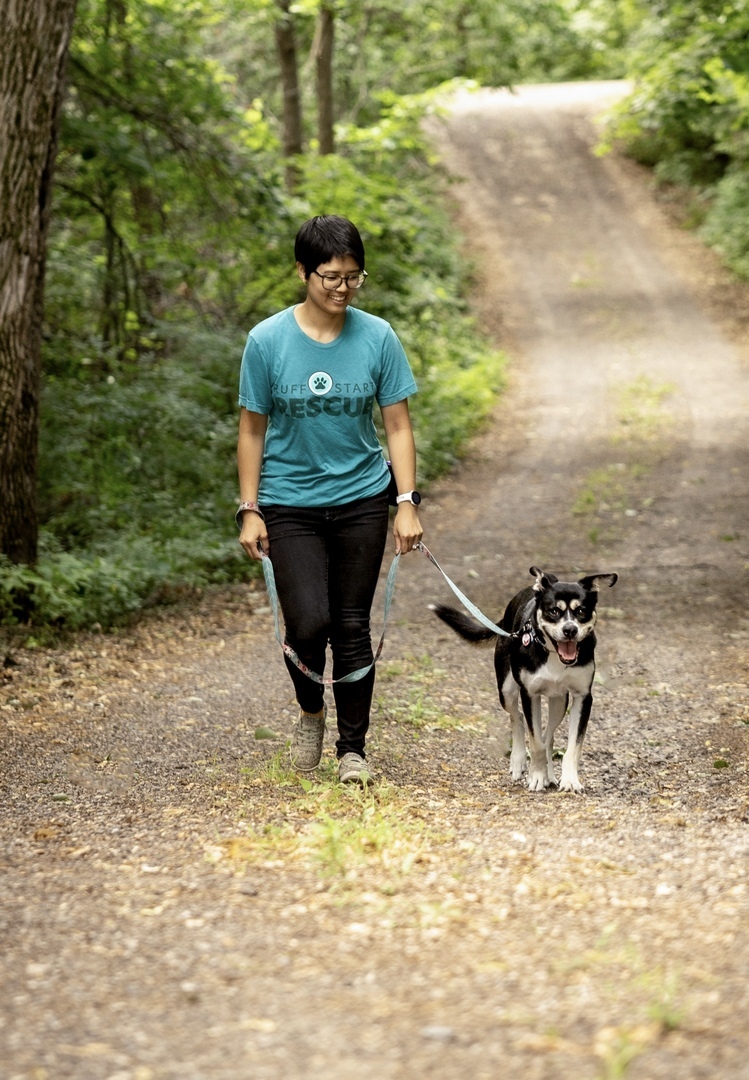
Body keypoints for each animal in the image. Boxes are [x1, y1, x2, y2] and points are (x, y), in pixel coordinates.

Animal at [431, 565, 617, 794]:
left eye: (581, 611)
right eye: (553, 611)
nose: (570, 630)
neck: (552, 654)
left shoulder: (583, 697)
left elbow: (571, 746)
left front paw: (569, 780)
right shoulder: (529, 693)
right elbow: (535, 742)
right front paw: (536, 777)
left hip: (559, 701)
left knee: (548, 736)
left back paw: (550, 775)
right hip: (507, 690)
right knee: (517, 717)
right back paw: (519, 761)